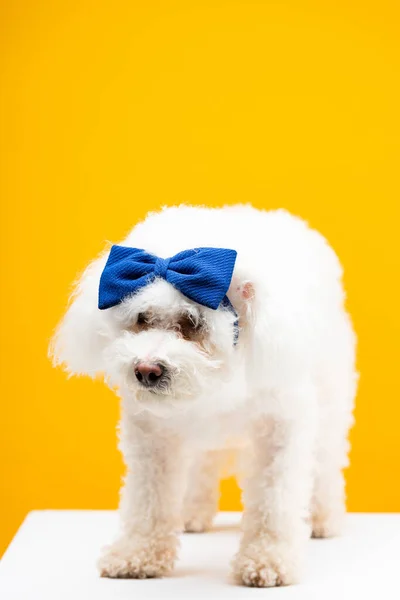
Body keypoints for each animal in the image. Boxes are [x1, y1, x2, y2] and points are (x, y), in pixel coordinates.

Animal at [49, 205, 356, 584]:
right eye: (142, 318)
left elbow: (275, 498)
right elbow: (148, 499)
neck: (215, 388)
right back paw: (192, 512)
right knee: (202, 464)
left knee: (326, 460)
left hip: (330, 400)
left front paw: (268, 559)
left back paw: (322, 518)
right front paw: (138, 553)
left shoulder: (281, 426)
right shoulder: (151, 436)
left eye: (192, 322)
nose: (146, 370)